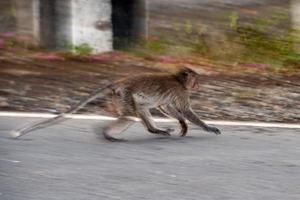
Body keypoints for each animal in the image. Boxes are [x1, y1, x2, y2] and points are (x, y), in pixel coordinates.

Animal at [11, 67, 220, 141]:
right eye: (196, 80)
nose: (199, 85)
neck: (178, 79)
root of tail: (119, 82)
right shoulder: (181, 91)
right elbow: (185, 110)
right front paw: (208, 128)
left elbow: (166, 107)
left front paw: (183, 124)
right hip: (124, 95)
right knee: (131, 115)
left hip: (120, 97)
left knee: (137, 111)